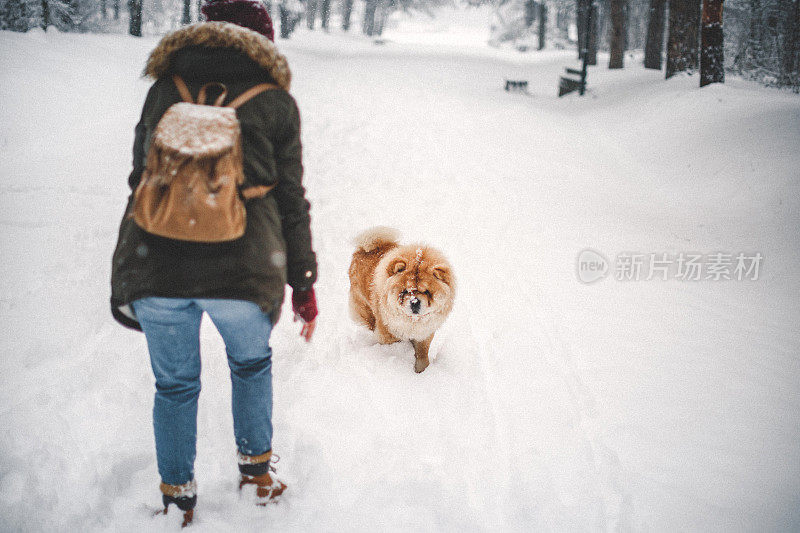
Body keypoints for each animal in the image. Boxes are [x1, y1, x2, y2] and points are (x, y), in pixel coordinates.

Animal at [348, 227, 456, 372]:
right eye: (405, 291)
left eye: (426, 292)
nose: (415, 302)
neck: (411, 321)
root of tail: (366, 248)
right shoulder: (387, 332)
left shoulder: (424, 332)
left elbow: (422, 354)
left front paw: (421, 370)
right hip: (364, 308)